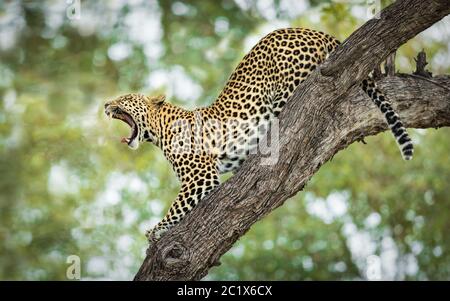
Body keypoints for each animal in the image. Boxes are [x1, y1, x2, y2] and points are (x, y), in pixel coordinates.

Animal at [103, 27, 414, 241]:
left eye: (125, 97)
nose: (106, 104)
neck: (160, 129)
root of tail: (313, 31)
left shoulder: (199, 178)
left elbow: (175, 209)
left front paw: (154, 231)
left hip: (290, 86)